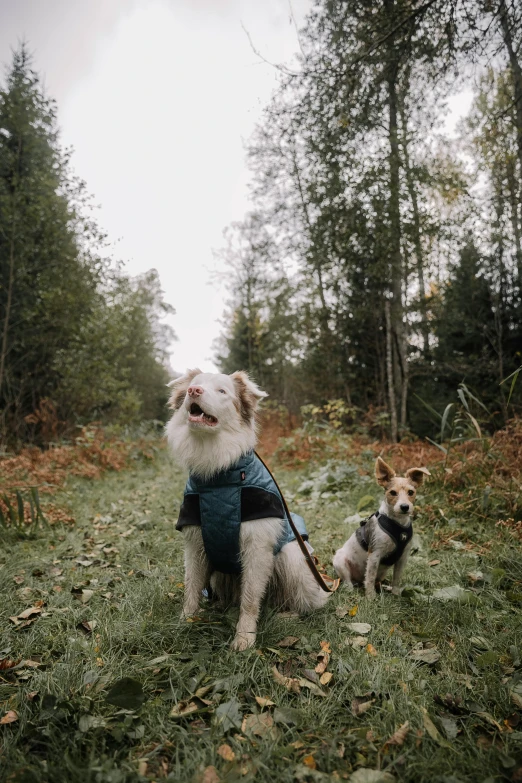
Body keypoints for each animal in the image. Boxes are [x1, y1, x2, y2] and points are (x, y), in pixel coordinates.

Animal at [167, 370, 330, 652]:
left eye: (222, 391)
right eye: (192, 386)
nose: (193, 391)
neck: (219, 477)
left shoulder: (257, 546)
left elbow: (251, 598)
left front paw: (244, 637)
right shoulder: (195, 544)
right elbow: (191, 588)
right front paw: (185, 623)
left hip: (293, 556)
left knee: (301, 601)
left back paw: (287, 614)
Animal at [334, 456, 426, 596]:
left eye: (411, 492)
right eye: (393, 492)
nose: (404, 507)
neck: (397, 523)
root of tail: (358, 581)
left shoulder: (403, 557)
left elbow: (396, 578)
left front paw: (396, 594)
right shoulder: (374, 555)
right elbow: (370, 578)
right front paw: (371, 597)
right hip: (340, 560)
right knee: (349, 580)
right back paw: (350, 588)